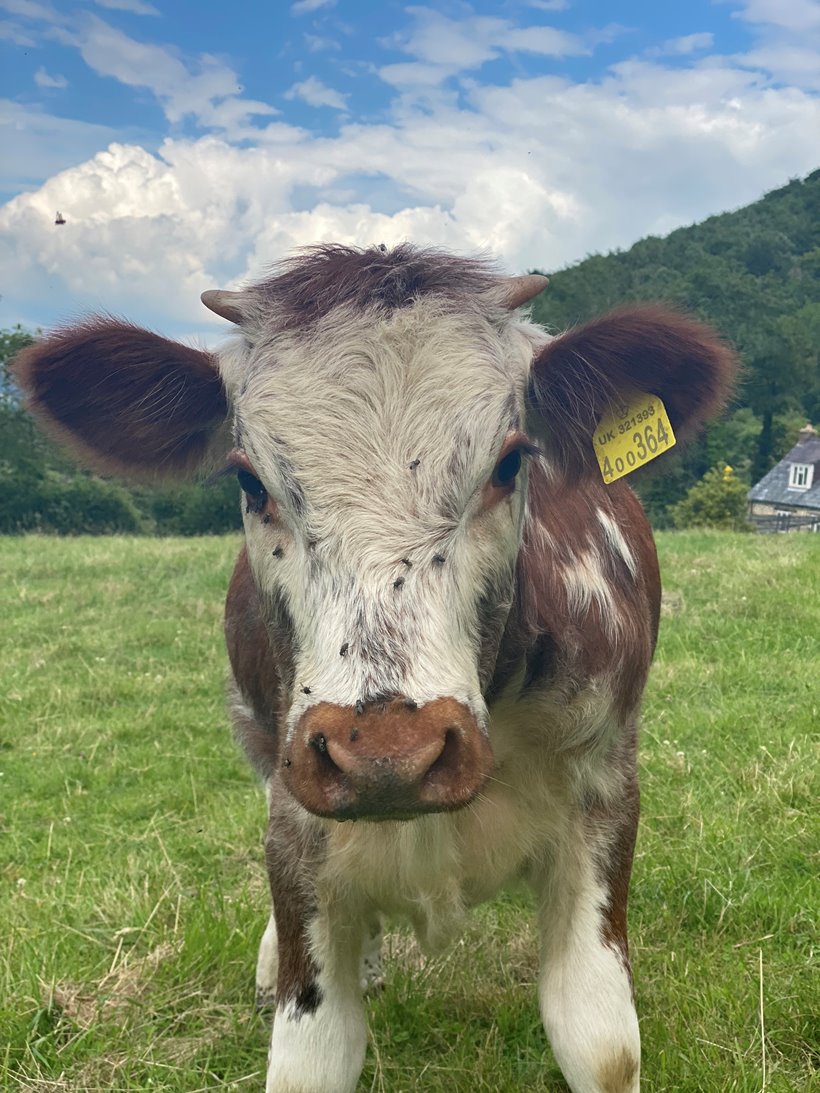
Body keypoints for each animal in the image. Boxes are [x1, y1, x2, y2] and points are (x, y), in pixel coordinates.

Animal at [16, 245, 739, 1093]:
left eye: (509, 462)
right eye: (250, 480)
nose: (388, 754)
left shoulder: (604, 789)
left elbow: (599, 1037)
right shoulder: (297, 820)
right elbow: (313, 1049)